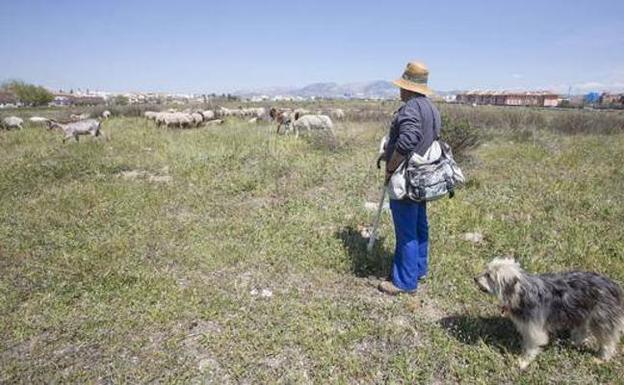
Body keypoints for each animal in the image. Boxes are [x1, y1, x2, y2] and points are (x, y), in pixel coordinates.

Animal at [472, 256, 624, 368]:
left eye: (489, 276)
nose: (475, 278)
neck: (521, 292)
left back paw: (602, 358)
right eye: (485, 271)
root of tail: (614, 286)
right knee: (582, 329)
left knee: (608, 340)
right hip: (582, 312)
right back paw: (575, 341)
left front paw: (524, 361)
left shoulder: (533, 327)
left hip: (602, 319)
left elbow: (533, 344)